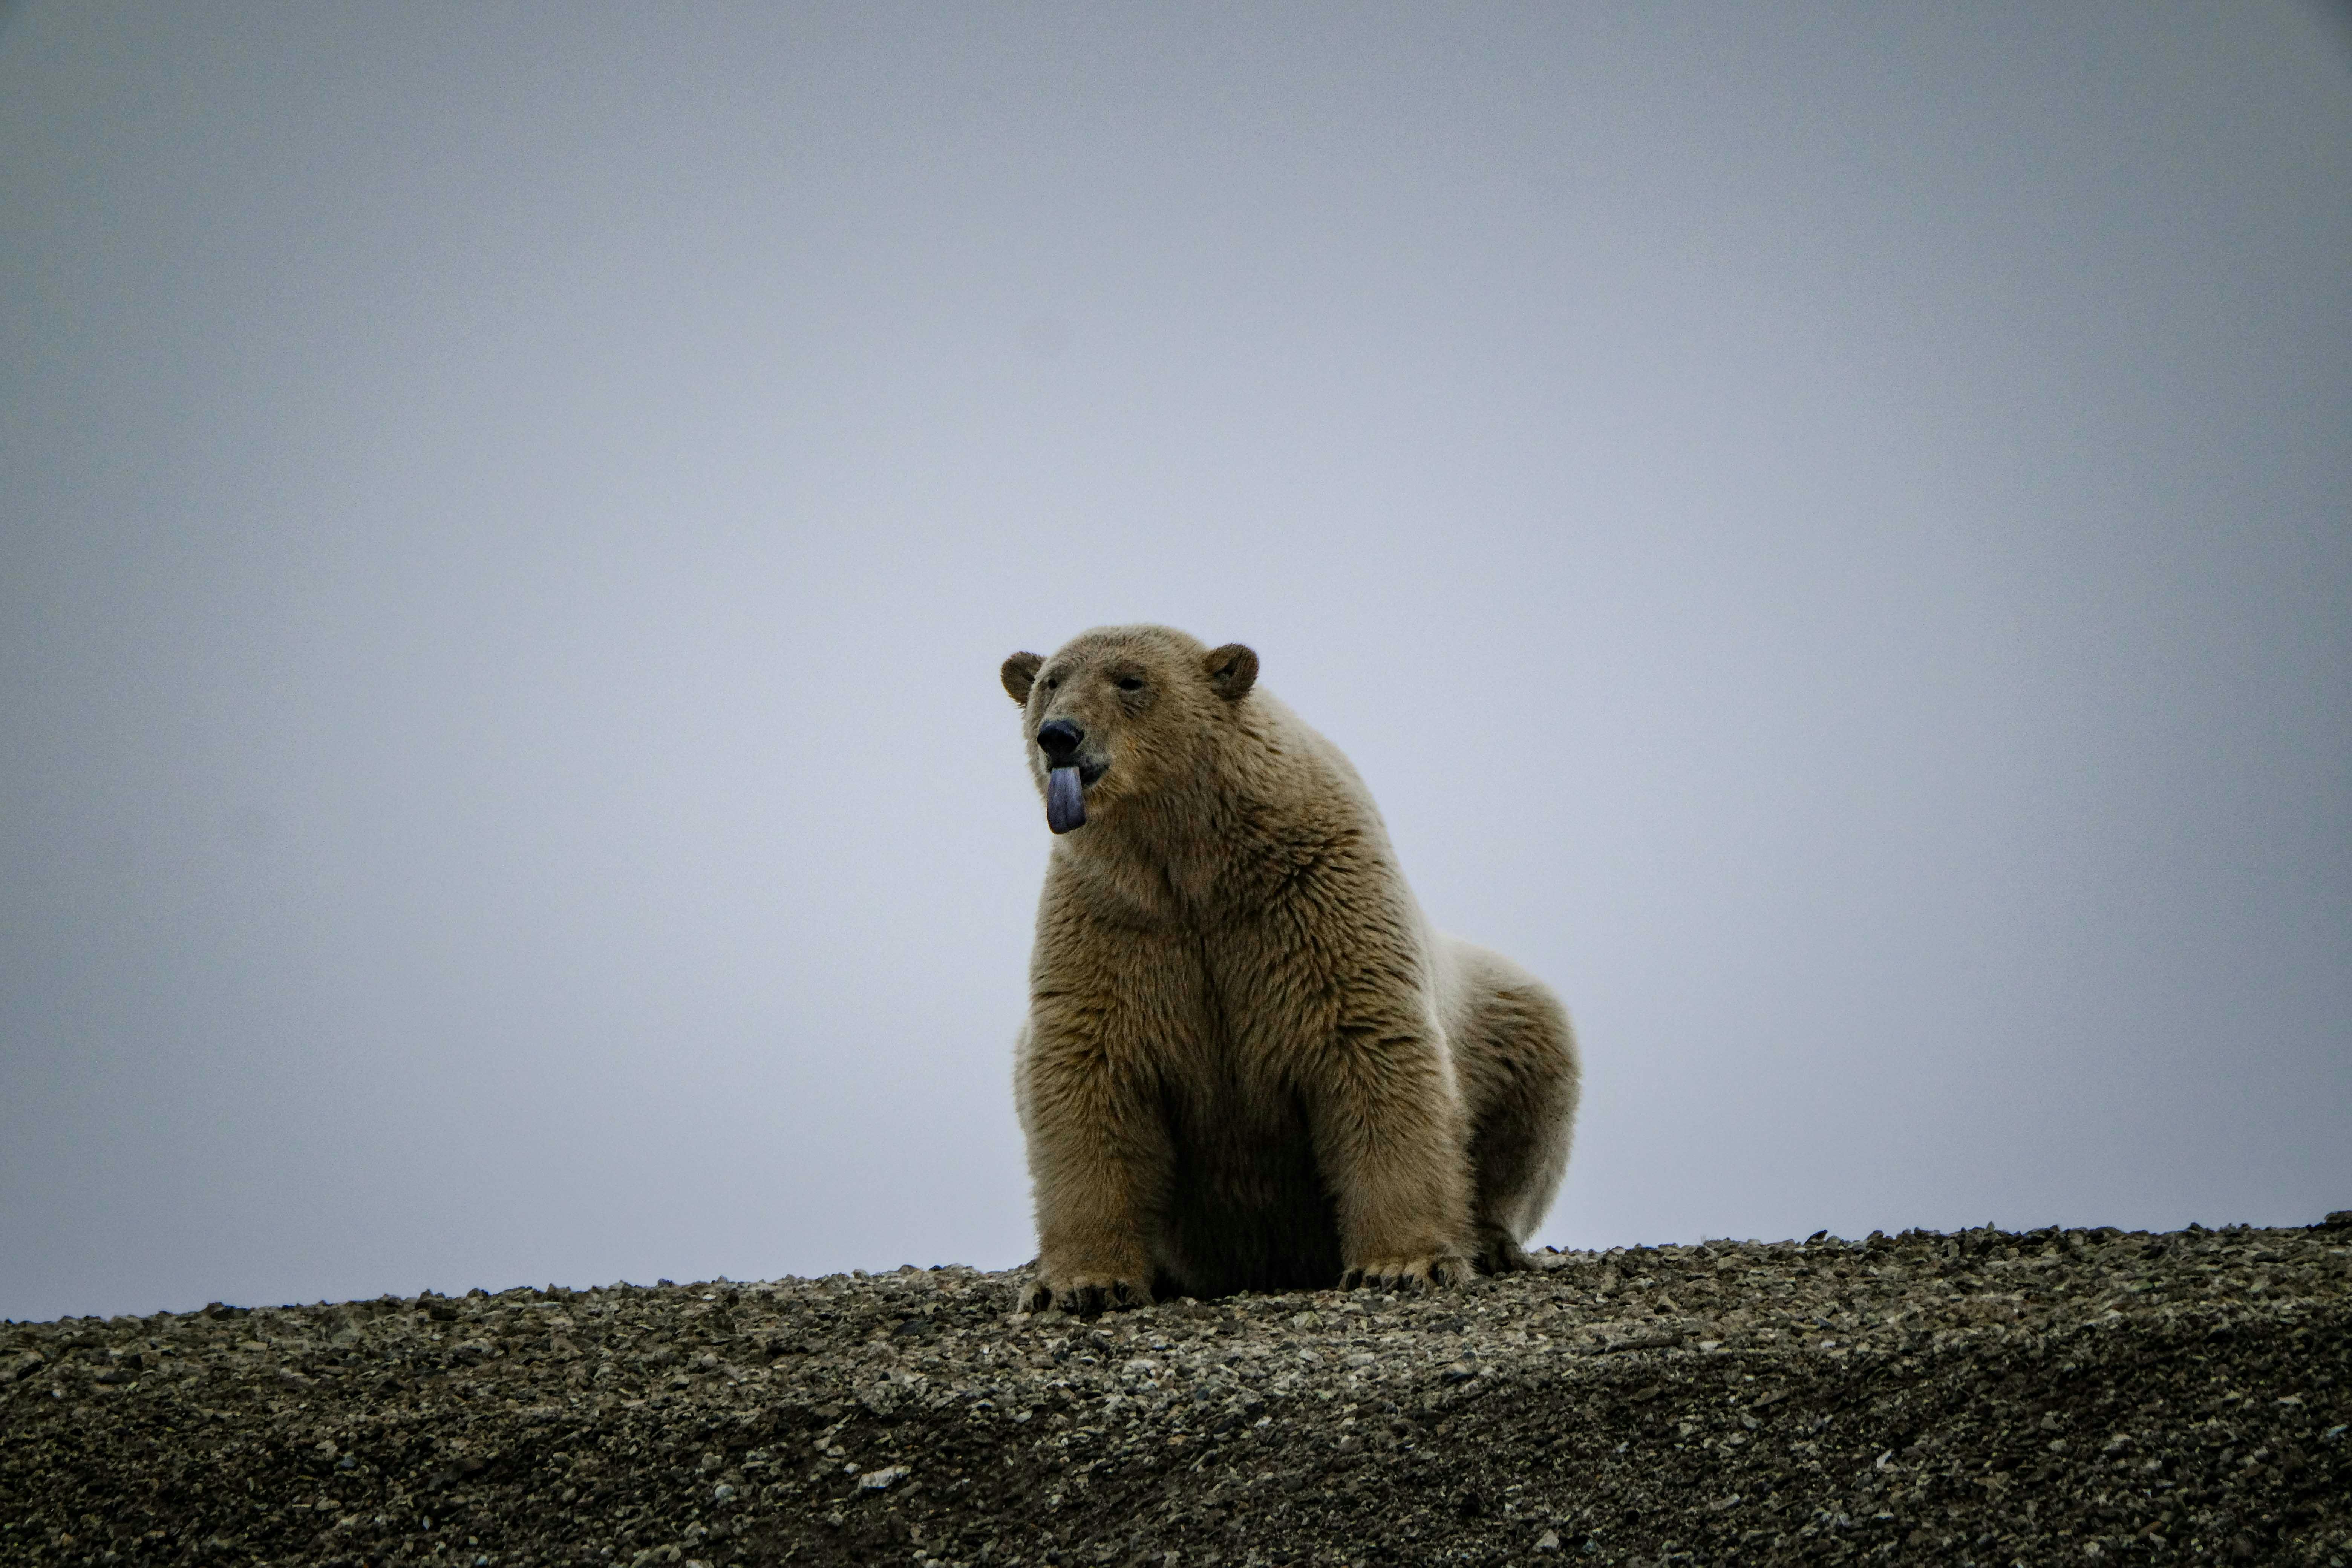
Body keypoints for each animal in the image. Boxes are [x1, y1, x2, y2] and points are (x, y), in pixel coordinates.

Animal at [999, 624, 1580, 1312]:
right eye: (1050, 682)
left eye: (1131, 680)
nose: (1059, 735)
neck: (1197, 868)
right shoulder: (1116, 923)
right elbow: (1092, 1070)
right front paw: (1084, 1284)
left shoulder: (1316, 899)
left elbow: (1371, 1049)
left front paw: (1402, 1264)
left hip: (1499, 1014)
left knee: (1531, 1078)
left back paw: (1490, 1239)